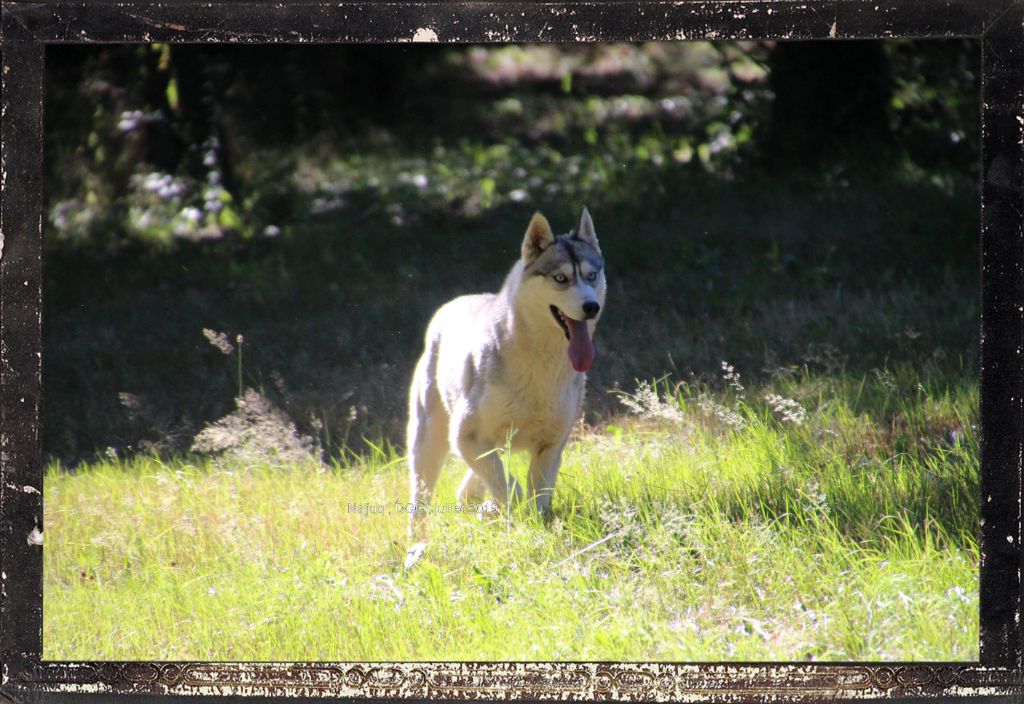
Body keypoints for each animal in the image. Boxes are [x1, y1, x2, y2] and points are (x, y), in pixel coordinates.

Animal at [403, 206, 602, 536]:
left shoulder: (551, 447)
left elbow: (534, 498)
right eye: (561, 278)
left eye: (591, 276)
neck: (540, 362)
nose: (592, 306)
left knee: (469, 487)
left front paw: (525, 522)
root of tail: (453, 304)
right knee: (422, 498)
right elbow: (512, 490)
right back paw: (417, 539)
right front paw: (505, 513)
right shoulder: (466, 434)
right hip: (429, 440)